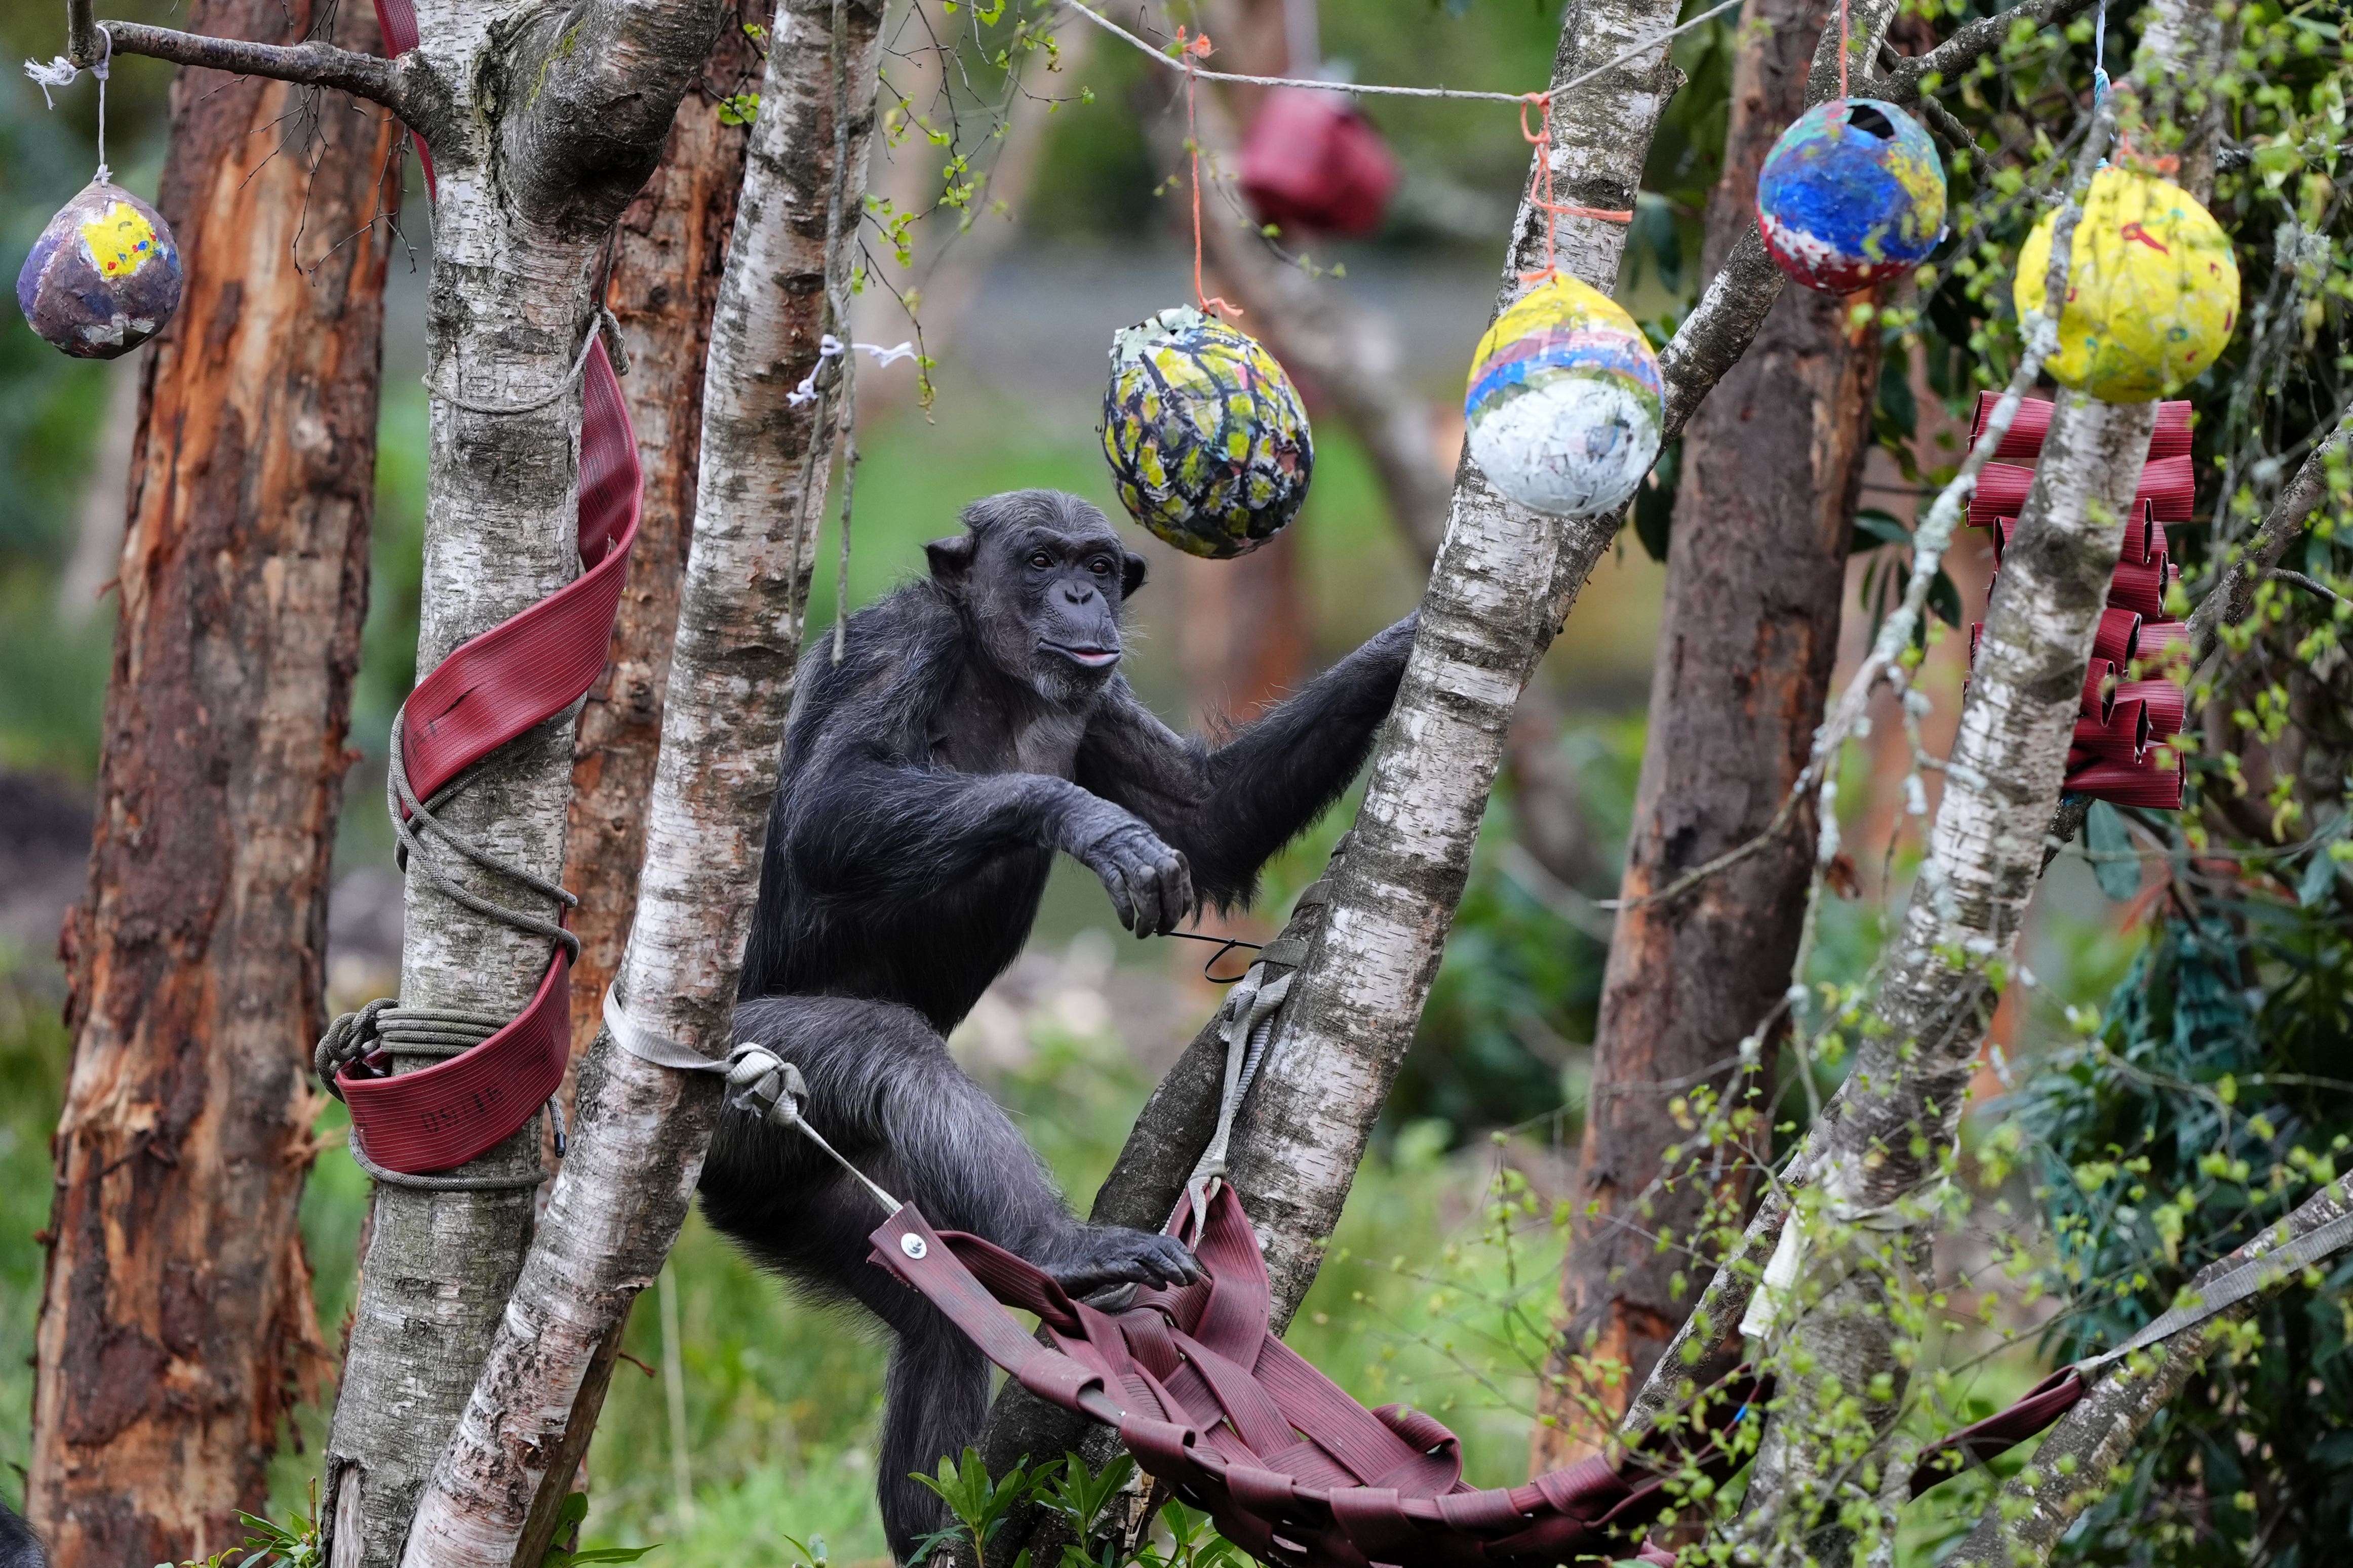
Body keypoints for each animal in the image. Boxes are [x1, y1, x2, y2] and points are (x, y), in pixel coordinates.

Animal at [698, 489, 1416, 1560]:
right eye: (1039, 561)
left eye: (1095, 565)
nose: (1081, 595)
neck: (997, 676)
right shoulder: (895, 647)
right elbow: (831, 804)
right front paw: (1087, 821)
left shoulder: (1102, 701)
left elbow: (1209, 813)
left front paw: (1405, 640)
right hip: (731, 1070)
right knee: (888, 1051)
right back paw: (1066, 1247)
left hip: (788, 1194)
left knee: (932, 1321)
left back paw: (955, 1531)